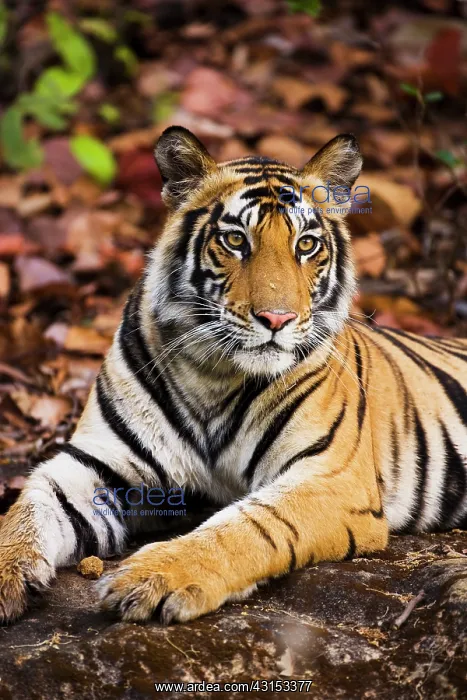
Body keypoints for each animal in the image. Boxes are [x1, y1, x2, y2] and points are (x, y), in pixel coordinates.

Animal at [0, 126, 466, 626]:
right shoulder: (96, 462)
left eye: (306, 245)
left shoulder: (331, 477)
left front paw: (154, 577)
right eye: (236, 240)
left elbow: (250, 524)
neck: (213, 373)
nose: (277, 319)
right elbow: (29, 506)